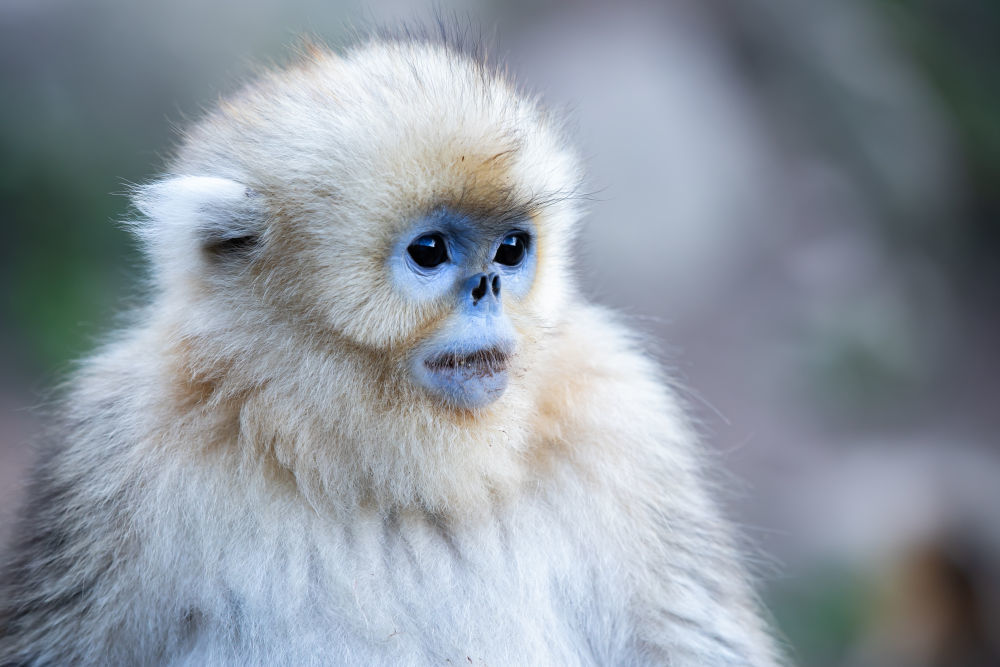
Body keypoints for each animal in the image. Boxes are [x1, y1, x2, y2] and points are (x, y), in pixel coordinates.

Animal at [0, 31, 780, 667]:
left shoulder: (623, 416)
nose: (489, 287)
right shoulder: (117, 442)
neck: (385, 481)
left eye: (511, 249)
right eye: (430, 251)